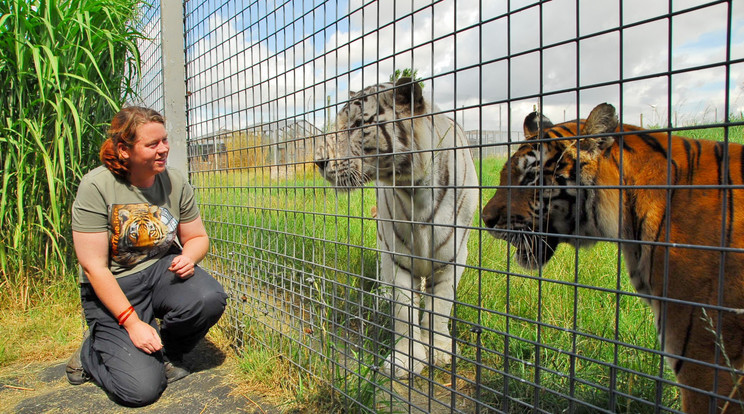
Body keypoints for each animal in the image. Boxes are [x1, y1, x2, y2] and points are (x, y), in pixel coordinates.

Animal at [312, 77, 476, 378]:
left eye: (358, 125)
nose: (318, 162)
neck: (415, 190)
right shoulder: (399, 255)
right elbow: (403, 312)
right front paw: (405, 360)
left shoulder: (453, 257)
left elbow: (441, 306)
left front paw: (440, 351)